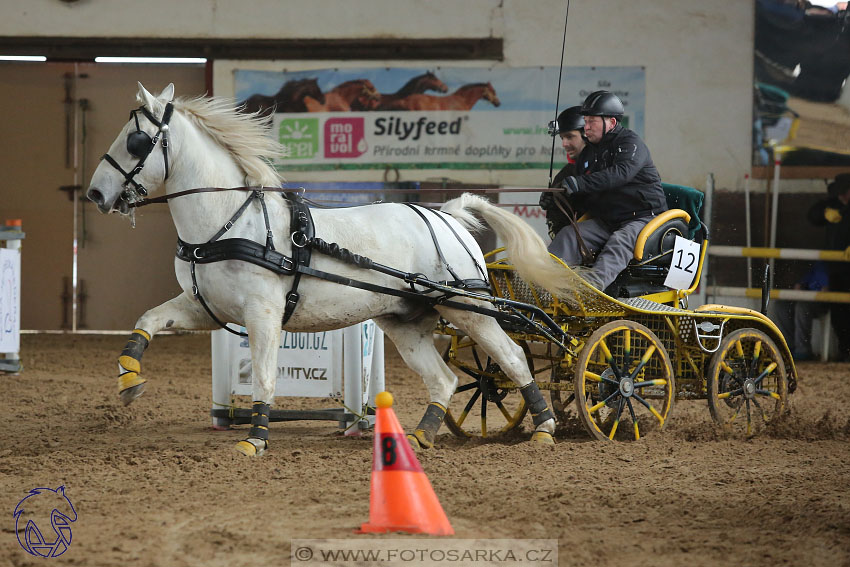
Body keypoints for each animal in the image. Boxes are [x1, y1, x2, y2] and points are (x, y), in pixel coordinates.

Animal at [84, 83, 568, 458]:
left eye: (136, 140)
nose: (95, 194)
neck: (229, 220)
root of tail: (446, 213)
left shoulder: (262, 313)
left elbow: (264, 376)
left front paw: (255, 439)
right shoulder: (206, 308)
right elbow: (148, 320)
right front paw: (129, 379)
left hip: (468, 307)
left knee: (513, 358)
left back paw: (545, 428)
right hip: (405, 322)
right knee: (444, 379)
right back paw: (421, 436)